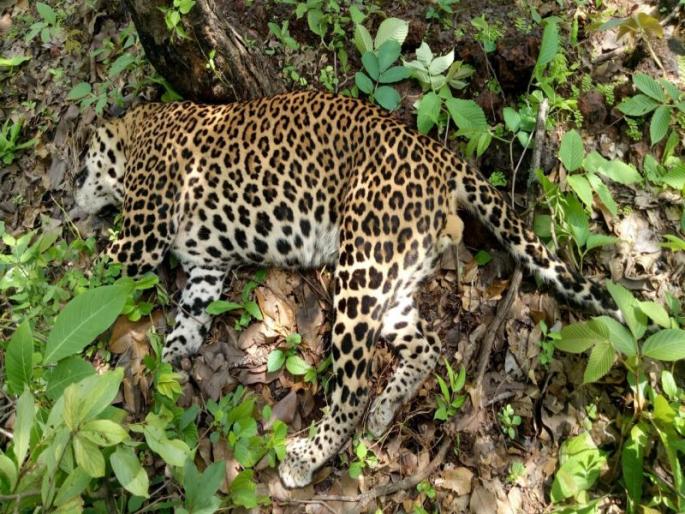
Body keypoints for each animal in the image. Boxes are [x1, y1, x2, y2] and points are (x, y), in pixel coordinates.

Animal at [73, 90, 620, 488]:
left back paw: (306, 456)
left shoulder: (139, 238)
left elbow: (90, 280)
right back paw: (385, 409)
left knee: (353, 387)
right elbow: (187, 319)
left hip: (363, 264)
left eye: (82, 160)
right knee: (426, 344)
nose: (70, 191)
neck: (138, 129)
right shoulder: (207, 269)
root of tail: (442, 156)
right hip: (392, 278)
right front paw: (165, 373)